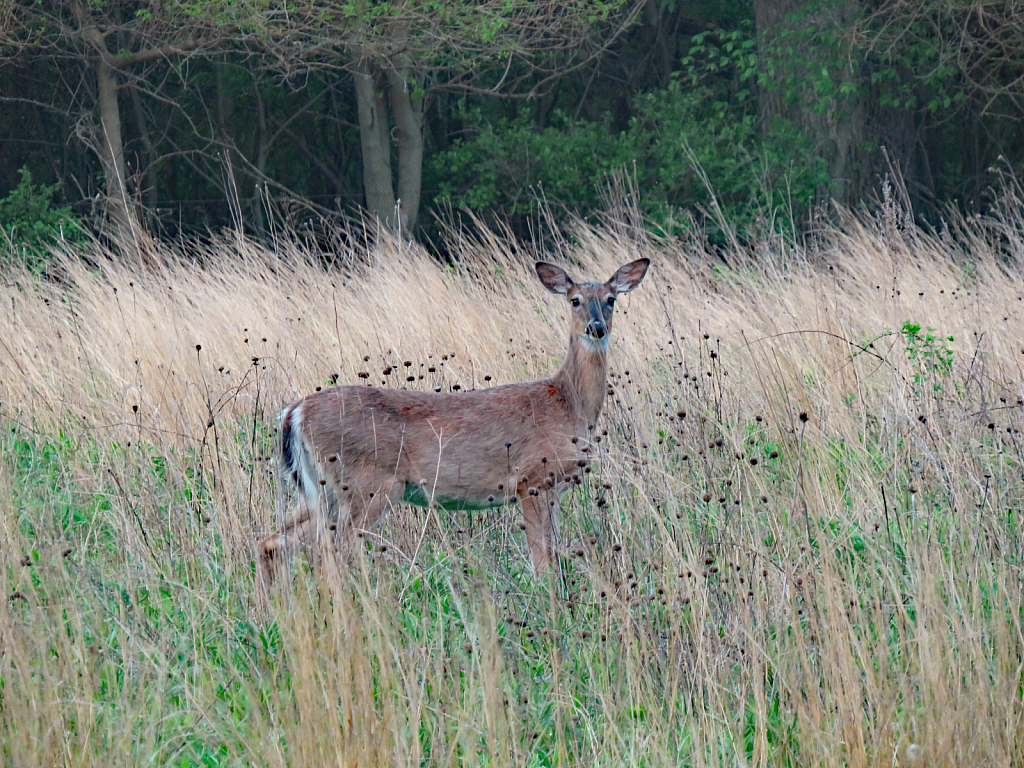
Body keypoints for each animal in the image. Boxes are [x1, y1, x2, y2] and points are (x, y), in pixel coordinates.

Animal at [260, 260, 651, 581]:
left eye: (611, 299)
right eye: (575, 300)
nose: (596, 327)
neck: (568, 404)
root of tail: (294, 412)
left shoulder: (552, 487)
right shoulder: (532, 479)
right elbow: (542, 563)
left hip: (318, 488)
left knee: (272, 544)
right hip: (365, 485)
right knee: (331, 558)